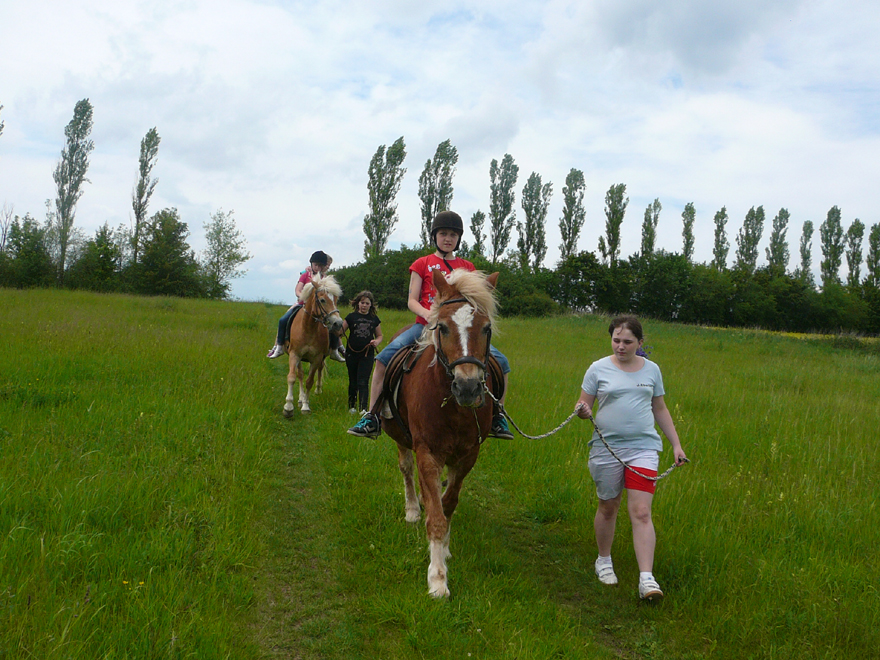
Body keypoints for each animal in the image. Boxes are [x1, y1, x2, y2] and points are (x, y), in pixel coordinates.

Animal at [286, 274, 348, 418]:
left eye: (336, 299)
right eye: (322, 300)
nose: (338, 323)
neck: (308, 328)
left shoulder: (316, 358)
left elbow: (310, 381)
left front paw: (305, 406)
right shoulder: (294, 355)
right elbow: (292, 377)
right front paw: (288, 407)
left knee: (318, 370)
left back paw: (315, 392)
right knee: (300, 374)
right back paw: (300, 398)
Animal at [382, 268, 498, 600]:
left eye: (486, 328)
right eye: (443, 327)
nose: (468, 387)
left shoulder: (469, 454)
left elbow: (447, 504)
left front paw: (443, 551)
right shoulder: (427, 451)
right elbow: (435, 514)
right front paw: (437, 579)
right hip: (401, 437)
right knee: (406, 469)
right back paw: (412, 509)